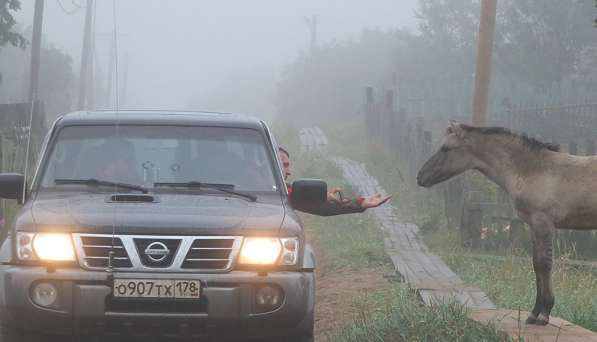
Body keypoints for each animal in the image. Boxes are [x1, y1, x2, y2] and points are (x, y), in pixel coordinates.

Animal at [416, 121, 596, 326]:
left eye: (446, 148)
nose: (420, 177)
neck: (532, 169)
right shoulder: (533, 225)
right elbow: (536, 264)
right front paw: (534, 313)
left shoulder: (542, 222)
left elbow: (545, 264)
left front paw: (543, 314)